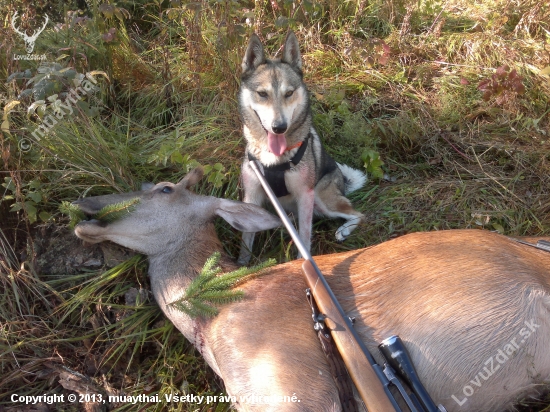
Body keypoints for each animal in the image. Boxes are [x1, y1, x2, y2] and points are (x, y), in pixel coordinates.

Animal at [239, 31, 368, 264]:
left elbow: (305, 236)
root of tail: (342, 180)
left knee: (359, 214)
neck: (275, 159)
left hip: (322, 199)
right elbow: (246, 241)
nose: (279, 127)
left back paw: (343, 230)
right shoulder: (252, 196)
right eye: (262, 94)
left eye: (289, 93)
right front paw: (242, 265)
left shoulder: (305, 196)